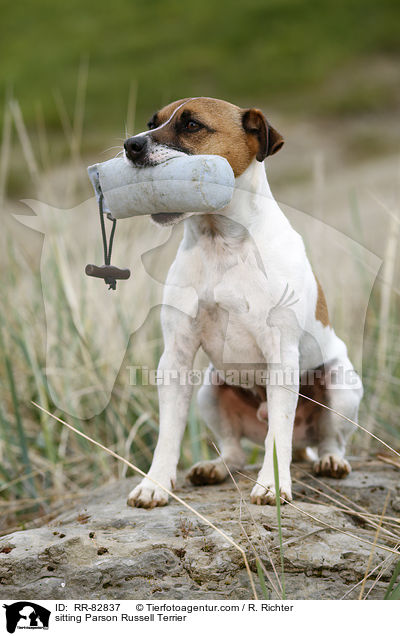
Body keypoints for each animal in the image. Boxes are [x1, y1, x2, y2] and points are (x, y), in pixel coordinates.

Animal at [122, 98, 362, 506]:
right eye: (151, 123)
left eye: (192, 125)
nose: (131, 145)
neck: (220, 242)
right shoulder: (176, 357)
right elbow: (168, 433)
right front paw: (155, 484)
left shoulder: (281, 355)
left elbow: (277, 436)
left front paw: (272, 486)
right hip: (210, 390)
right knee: (233, 450)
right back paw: (214, 468)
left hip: (340, 385)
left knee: (329, 439)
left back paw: (329, 461)